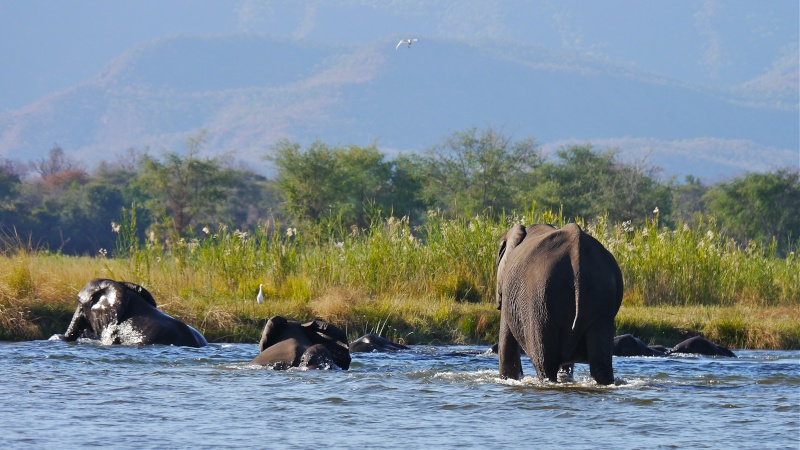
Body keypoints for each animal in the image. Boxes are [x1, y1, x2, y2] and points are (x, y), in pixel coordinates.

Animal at [494, 223, 624, 384]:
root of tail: (576, 252)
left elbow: (506, 347)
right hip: (602, 292)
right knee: (601, 363)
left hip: (538, 299)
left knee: (544, 362)